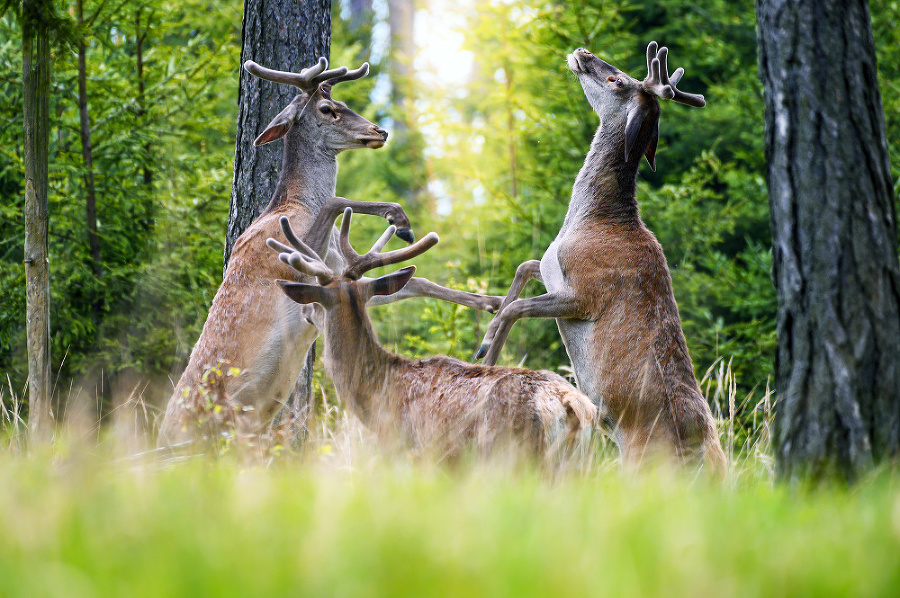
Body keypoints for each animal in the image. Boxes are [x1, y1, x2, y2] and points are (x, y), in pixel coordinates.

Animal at [159, 57, 502, 450]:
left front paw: (493, 303)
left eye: (343, 102)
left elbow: (417, 283)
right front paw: (398, 218)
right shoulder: (290, 263)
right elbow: (336, 200)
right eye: (327, 109)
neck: (293, 205)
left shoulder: (342, 275)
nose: (380, 131)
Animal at [270, 211, 600, 464]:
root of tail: (573, 404)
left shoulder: (406, 451)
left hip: (512, 454)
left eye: (318, 301)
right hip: (576, 465)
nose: (306, 311)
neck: (378, 392)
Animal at [474, 42, 728, 476]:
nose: (582, 50)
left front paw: (485, 352)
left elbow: (516, 309)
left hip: (644, 455)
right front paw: (487, 325)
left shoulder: (587, 293)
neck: (593, 218)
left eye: (618, 80)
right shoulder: (552, 270)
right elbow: (522, 270)